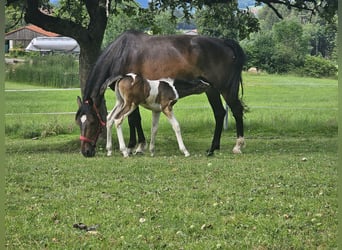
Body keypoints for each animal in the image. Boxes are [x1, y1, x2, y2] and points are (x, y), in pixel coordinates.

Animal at [75, 30, 246, 157]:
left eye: (92, 122)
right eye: (78, 122)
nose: (86, 152)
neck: (121, 53)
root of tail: (225, 43)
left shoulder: (133, 98)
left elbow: (133, 119)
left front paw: (134, 146)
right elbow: (134, 120)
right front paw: (138, 146)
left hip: (224, 89)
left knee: (236, 110)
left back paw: (238, 146)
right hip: (212, 90)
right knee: (220, 113)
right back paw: (212, 148)